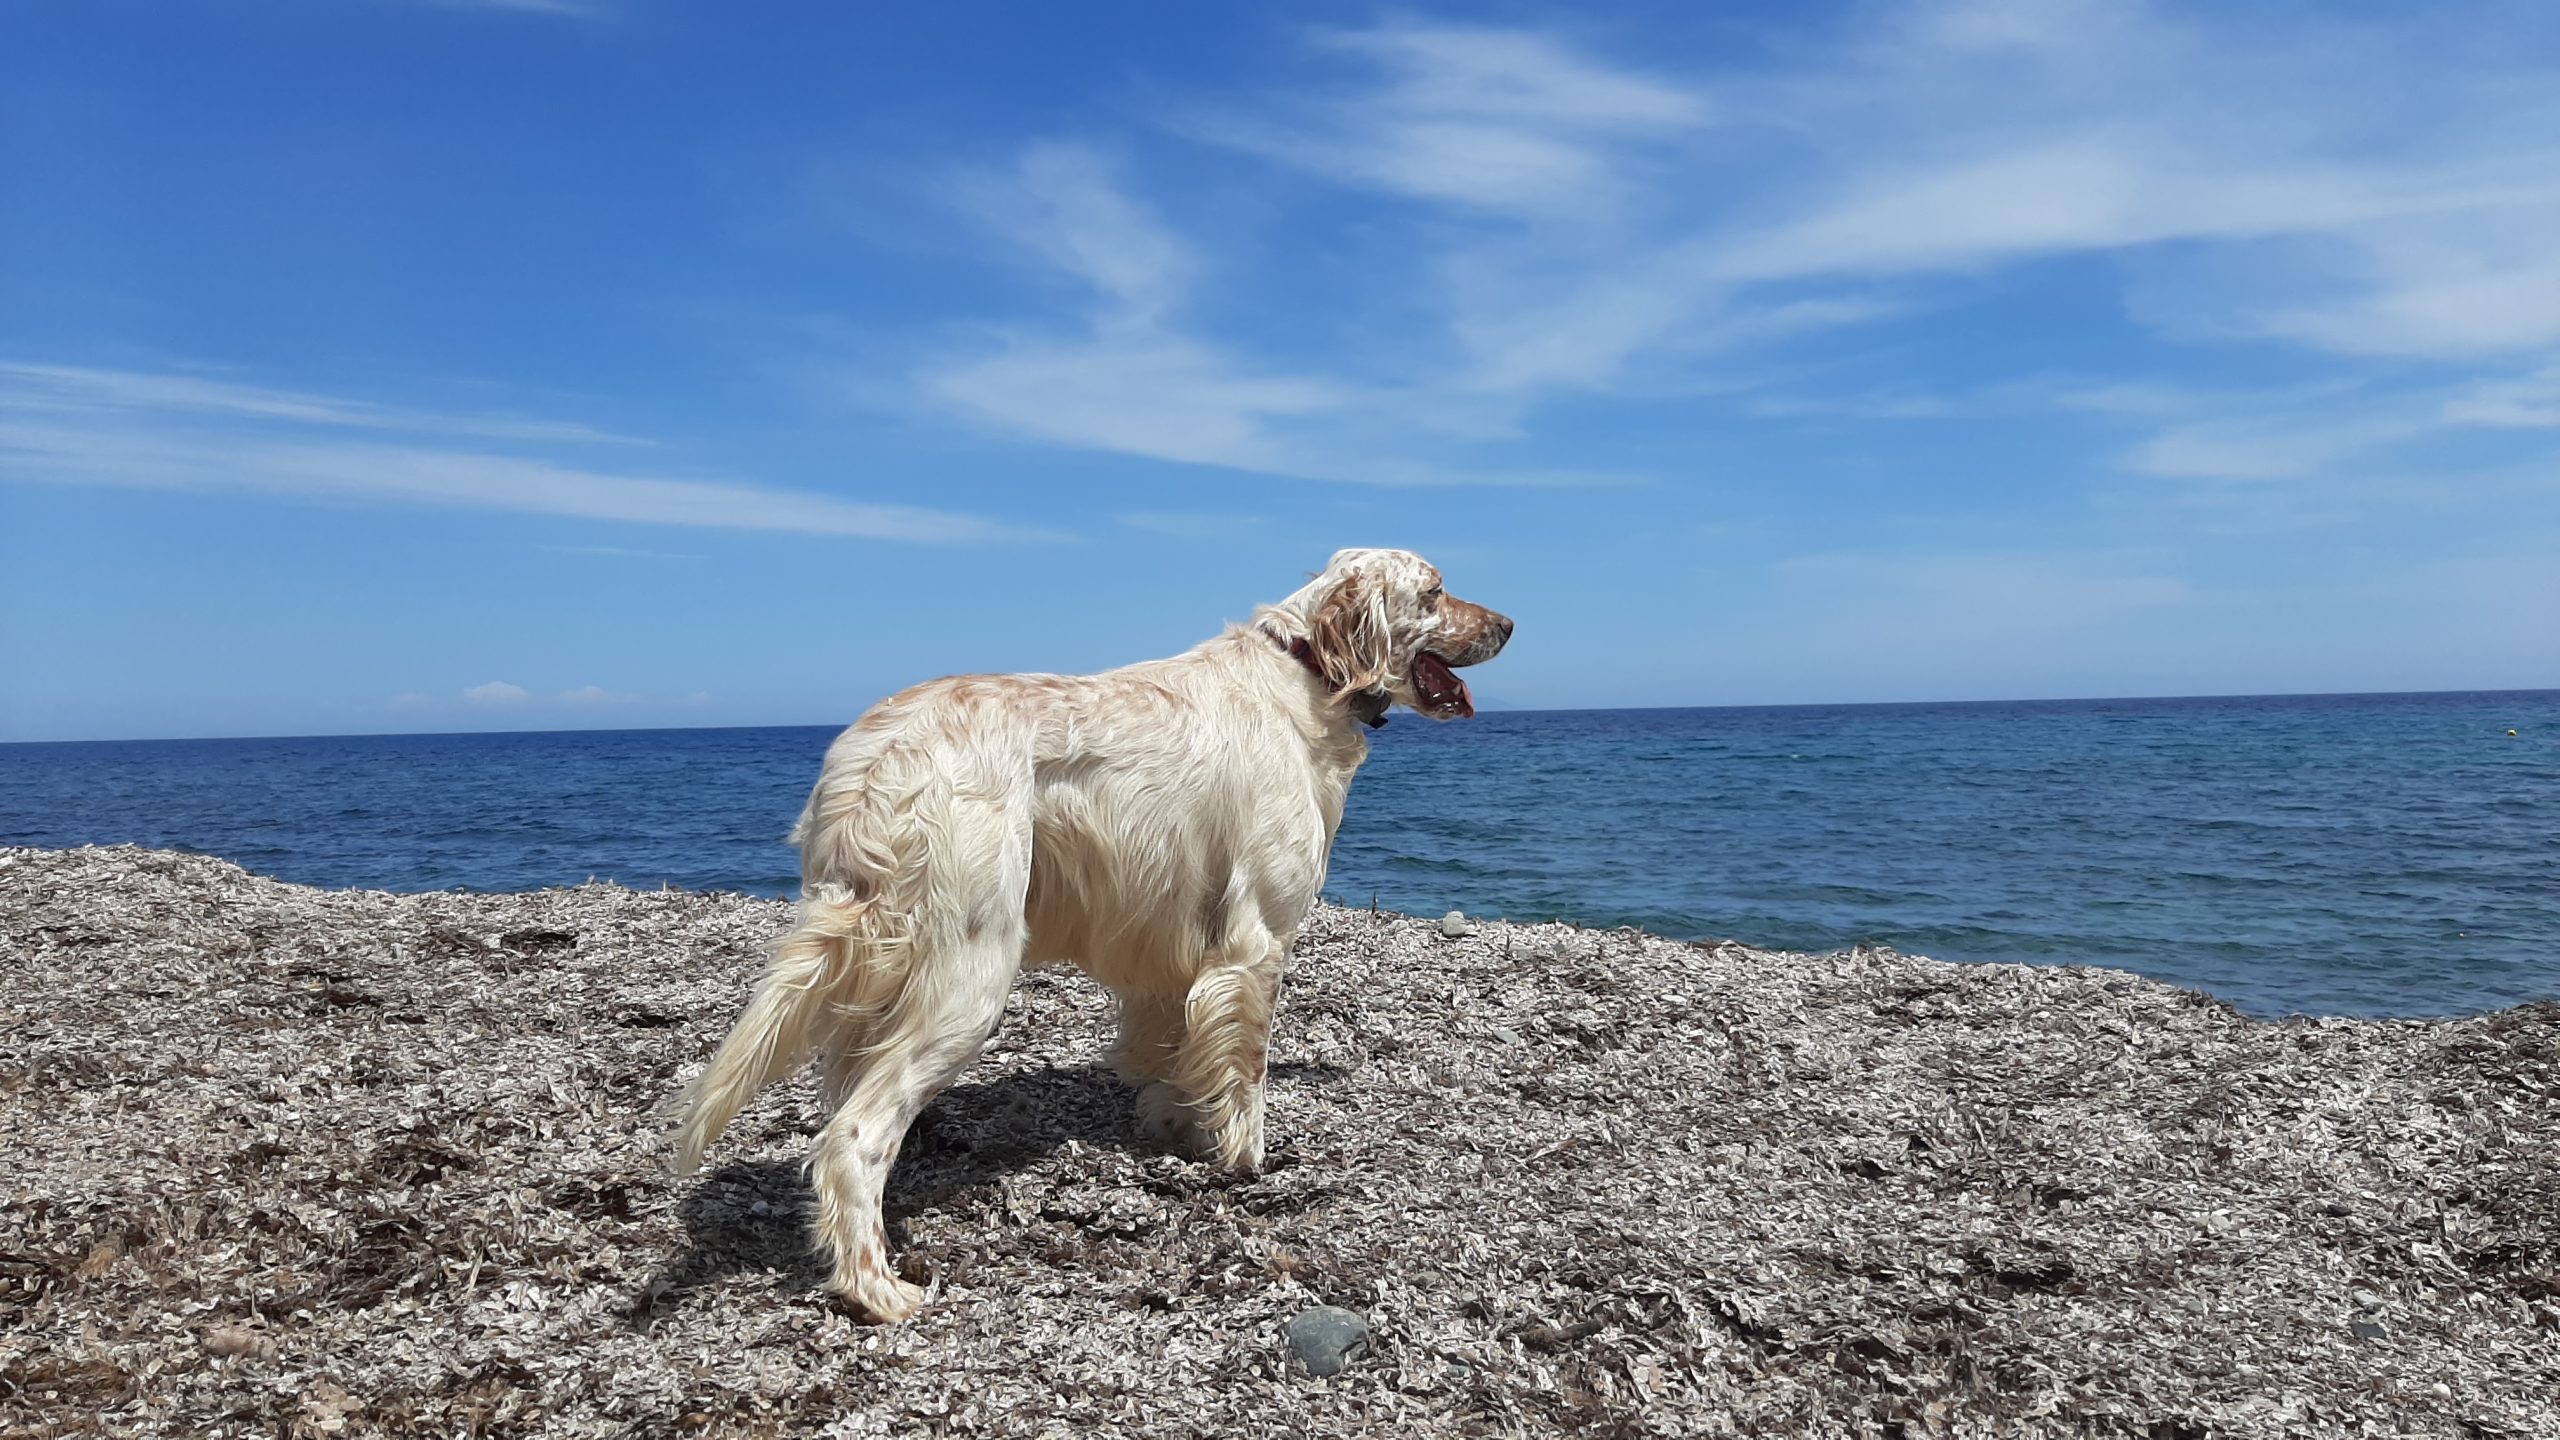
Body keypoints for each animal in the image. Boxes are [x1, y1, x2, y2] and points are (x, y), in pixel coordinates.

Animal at [668, 547, 1510, 1321]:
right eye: (1435, 592)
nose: (1507, 624)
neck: (1305, 672)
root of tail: (876, 759)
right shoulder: (1255, 945)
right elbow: (1245, 1076)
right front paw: (1244, 1162)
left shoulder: (1175, 948)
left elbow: (1177, 1052)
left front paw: (1176, 1127)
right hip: (969, 979)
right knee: (853, 1135)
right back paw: (875, 1287)